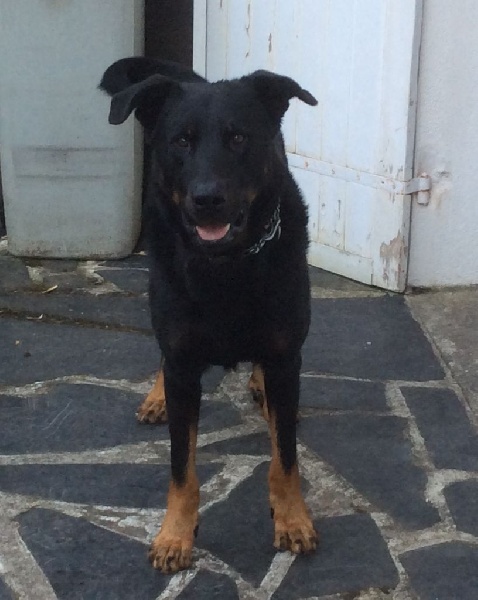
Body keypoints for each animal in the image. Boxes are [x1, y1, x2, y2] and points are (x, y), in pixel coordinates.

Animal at [100, 57, 318, 573]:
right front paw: (175, 534)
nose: (207, 199)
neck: (227, 266)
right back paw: (157, 396)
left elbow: (285, 455)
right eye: (181, 140)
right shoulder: (183, 359)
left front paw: (292, 517)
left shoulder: (285, 359)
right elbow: (182, 466)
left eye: (238, 138)